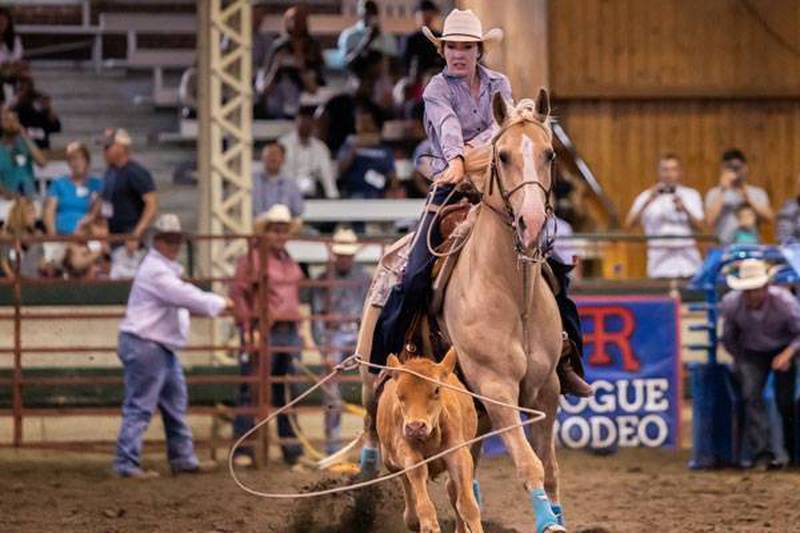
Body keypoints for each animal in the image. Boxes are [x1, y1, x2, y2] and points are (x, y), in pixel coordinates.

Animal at [376, 350, 482, 532]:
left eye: (436, 390)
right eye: (399, 394)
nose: (415, 427)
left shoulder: (458, 452)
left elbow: (467, 506)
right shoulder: (408, 453)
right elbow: (419, 488)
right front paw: (427, 524)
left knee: (452, 489)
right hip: (388, 460)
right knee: (405, 481)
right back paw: (412, 519)